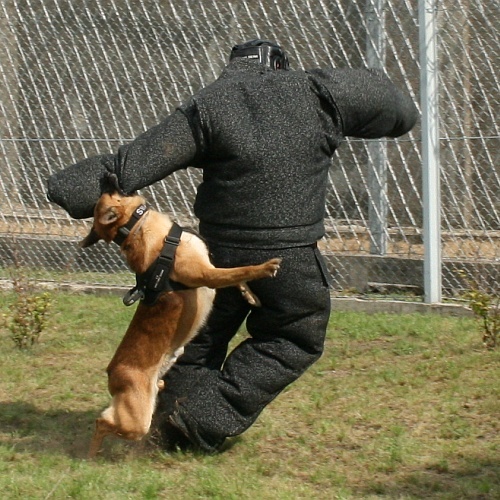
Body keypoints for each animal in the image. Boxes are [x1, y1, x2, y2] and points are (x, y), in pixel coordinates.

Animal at [82, 191, 282, 458]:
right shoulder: (205, 274)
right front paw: (265, 268)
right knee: (101, 422)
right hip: (137, 420)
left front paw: (249, 294)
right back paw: (91, 455)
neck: (138, 227)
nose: (107, 182)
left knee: (108, 417)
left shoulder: (211, 268)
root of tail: (111, 373)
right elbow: (238, 271)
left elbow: (233, 275)